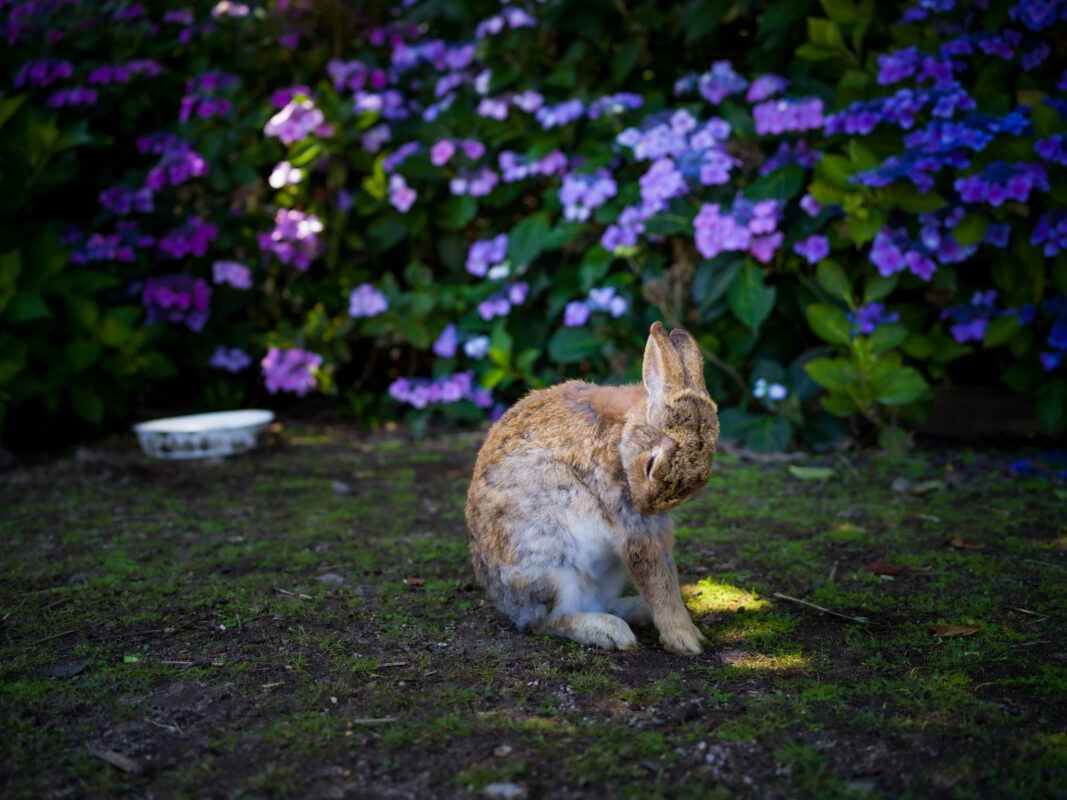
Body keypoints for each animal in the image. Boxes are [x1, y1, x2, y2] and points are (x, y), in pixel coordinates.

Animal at [465, 321, 719, 655]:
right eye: (651, 464)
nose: (646, 505)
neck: (624, 435)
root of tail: (505, 602)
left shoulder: (658, 528)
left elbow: (667, 573)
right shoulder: (629, 521)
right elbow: (654, 575)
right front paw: (684, 639)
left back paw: (634, 613)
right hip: (552, 563)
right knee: (547, 621)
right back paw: (610, 632)